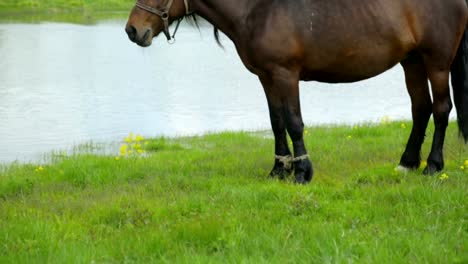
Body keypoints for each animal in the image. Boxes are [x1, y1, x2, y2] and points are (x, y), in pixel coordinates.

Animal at [125, 0, 468, 184]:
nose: (132, 30)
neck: (258, 10)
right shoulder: (267, 77)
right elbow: (276, 122)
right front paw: (279, 169)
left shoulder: (285, 74)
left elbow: (294, 122)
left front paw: (302, 172)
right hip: (411, 61)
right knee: (420, 109)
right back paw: (407, 163)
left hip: (436, 62)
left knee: (441, 109)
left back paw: (432, 166)